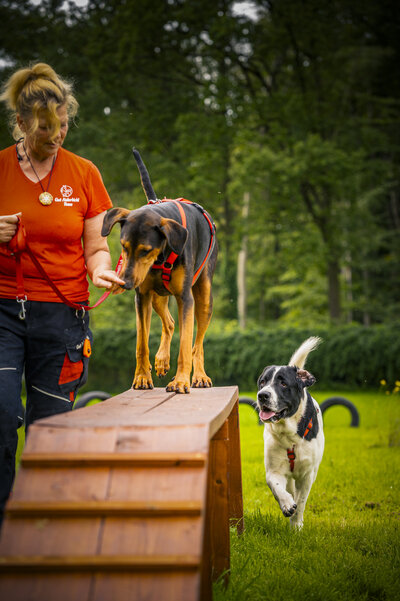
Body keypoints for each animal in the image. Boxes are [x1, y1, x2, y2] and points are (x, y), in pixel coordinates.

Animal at [101, 149, 217, 394]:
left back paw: (199, 376)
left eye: (146, 250)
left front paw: (181, 381)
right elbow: (141, 343)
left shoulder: (185, 297)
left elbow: (186, 345)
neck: (160, 258)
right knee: (169, 322)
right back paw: (162, 359)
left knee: (198, 343)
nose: (125, 283)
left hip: (203, 295)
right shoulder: (142, 296)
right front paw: (142, 377)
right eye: (124, 246)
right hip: (157, 296)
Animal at [256, 336, 324, 528]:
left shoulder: (307, 475)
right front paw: (287, 504)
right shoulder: (274, 469)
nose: (262, 395)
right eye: (262, 382)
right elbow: (276, 485)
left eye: (283, 383)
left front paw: (296, 526)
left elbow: (301, 501)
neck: (289, 434)